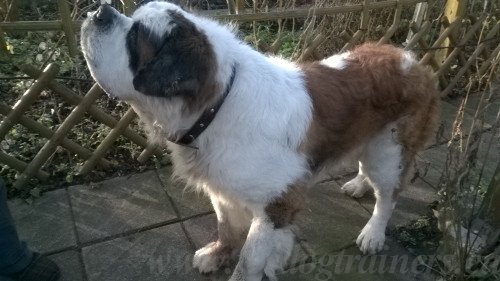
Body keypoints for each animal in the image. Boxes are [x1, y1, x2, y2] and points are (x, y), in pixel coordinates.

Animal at [81, 1, 438, 278]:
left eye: (135, 36)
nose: (99, 9)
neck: (218, 103)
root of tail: (412, 60)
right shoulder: (222, 189)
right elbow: (225, 227)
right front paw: (217, 253)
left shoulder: (275, 206)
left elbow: (250, 260)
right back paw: (359, 184)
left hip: (388, 150)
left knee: (389, 195)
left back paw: (373, 233)